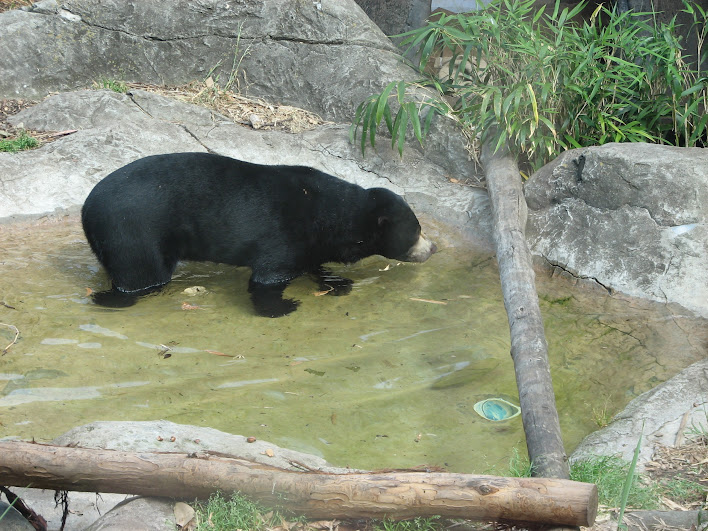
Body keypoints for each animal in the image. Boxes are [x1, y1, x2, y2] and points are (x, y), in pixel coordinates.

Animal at [81, 152, 437, 317]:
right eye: (416, 230)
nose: (432, 247)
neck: (333, 216)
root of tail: (87, 208)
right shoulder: (285, 235)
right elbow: (267, 277)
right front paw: (284, 305)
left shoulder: (312, 242)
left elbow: (312, 262)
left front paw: (338, 282)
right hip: (133, 232)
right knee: (143, 276)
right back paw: (109, 297)